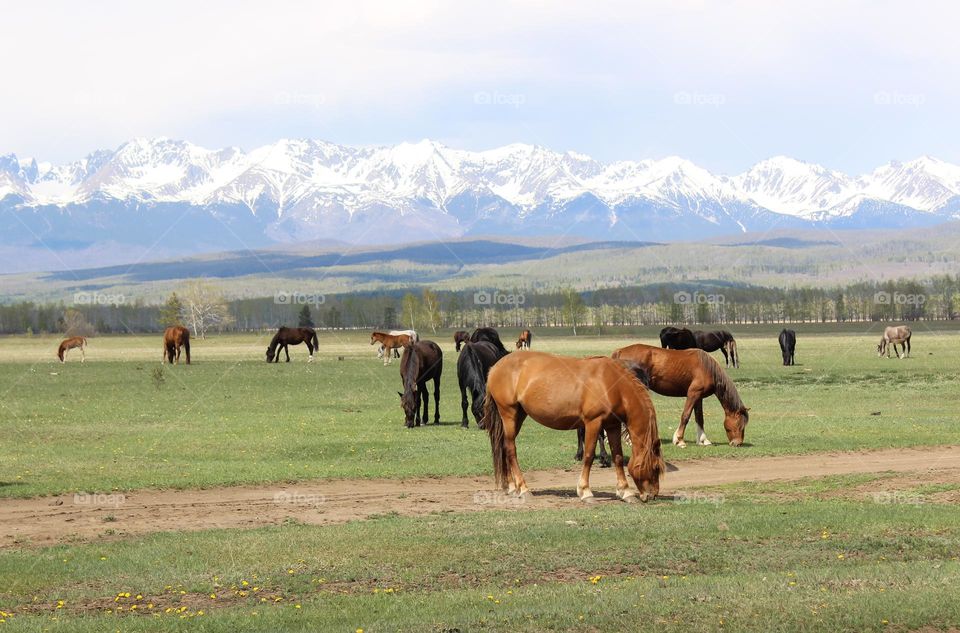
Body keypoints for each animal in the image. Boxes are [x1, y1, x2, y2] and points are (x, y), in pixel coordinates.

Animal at [484, 350, 664, 504]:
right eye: (656, 467)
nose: (653, 495)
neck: (611, 384)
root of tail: (495, 367)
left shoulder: (613, 425)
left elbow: (618, 457)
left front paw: (625, 492)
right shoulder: (593, 422)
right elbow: (589, 455)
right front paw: (585, 491)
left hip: (518, 416)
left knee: (504, 448)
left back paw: (512, 486)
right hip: (509, 413)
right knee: (510, 449)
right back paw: (523, 488)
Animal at [612, 344, 748, 446]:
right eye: (739, 425)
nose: (738, 443)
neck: (707, 368)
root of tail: (620, 351)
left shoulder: (699, 397)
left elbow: (699, 418)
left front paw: (703, 440)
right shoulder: (693, 394)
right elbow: (685, 416)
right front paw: (679, 440)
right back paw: (629, 440)